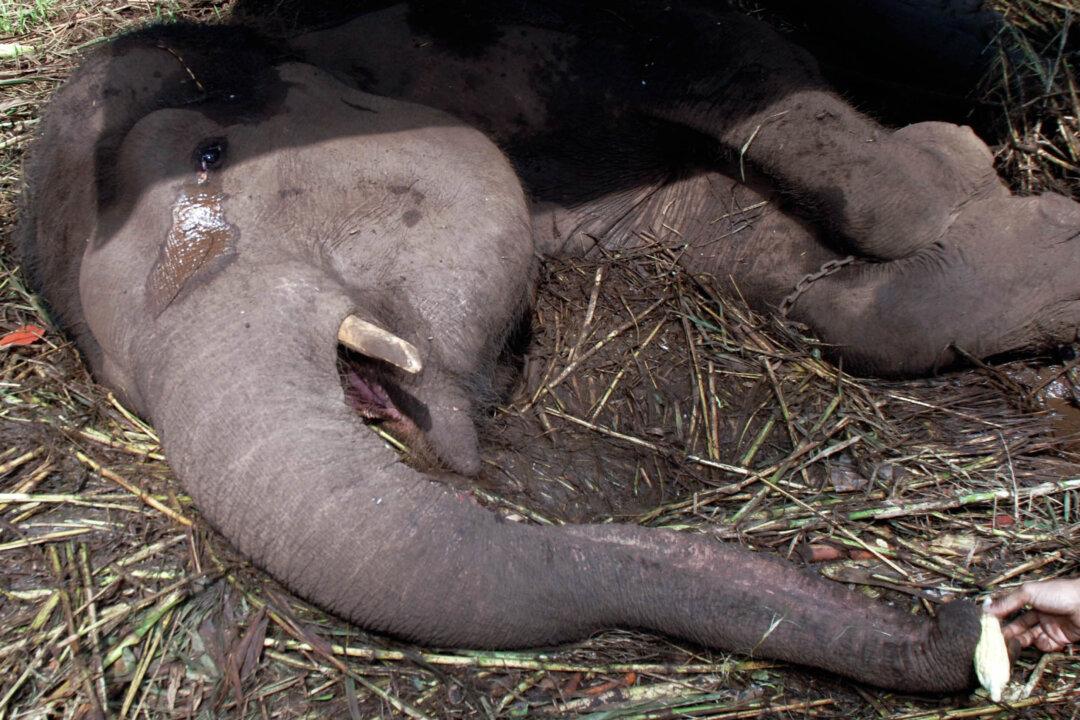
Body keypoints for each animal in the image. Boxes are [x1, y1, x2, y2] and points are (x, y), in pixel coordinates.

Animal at [18, 0, 1075, 695]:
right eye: (119, 376)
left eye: (208, 154)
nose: (963, 614)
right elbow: (731, 237)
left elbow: (745, 81)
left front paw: (1001, 198)